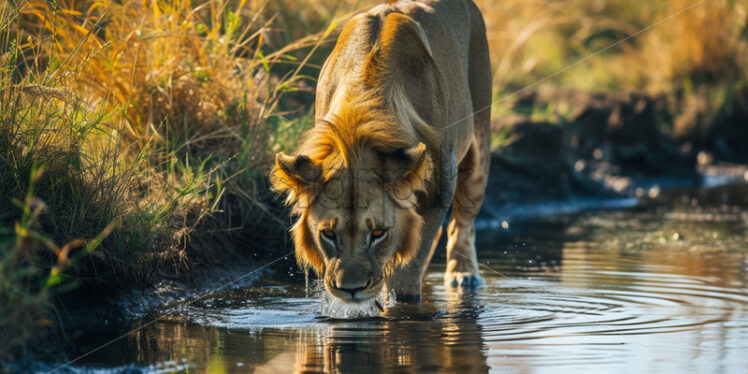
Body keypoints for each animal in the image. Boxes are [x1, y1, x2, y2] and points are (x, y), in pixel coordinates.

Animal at [272, 0, 494, 304]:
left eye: (378, 232)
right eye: (328, 233)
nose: (350, 289)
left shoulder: (441, 182)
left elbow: (413, 255)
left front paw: (401, 299)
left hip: (478, 147)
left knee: (463, 221)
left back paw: (463, 274)